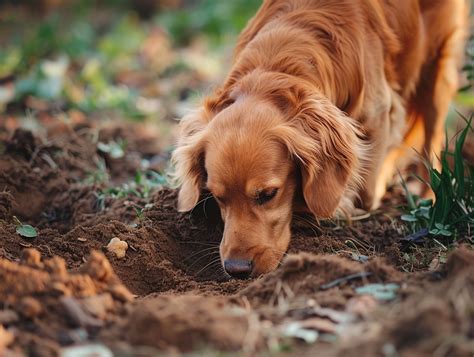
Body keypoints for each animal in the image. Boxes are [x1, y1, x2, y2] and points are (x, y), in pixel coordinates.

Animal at [170, 0, 466, 278]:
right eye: (218, 197)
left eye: (268, 194)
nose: (236, 269)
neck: (279, 63)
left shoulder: (379, 113)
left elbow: (364, 194)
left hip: (436, 67)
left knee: (431, 141)